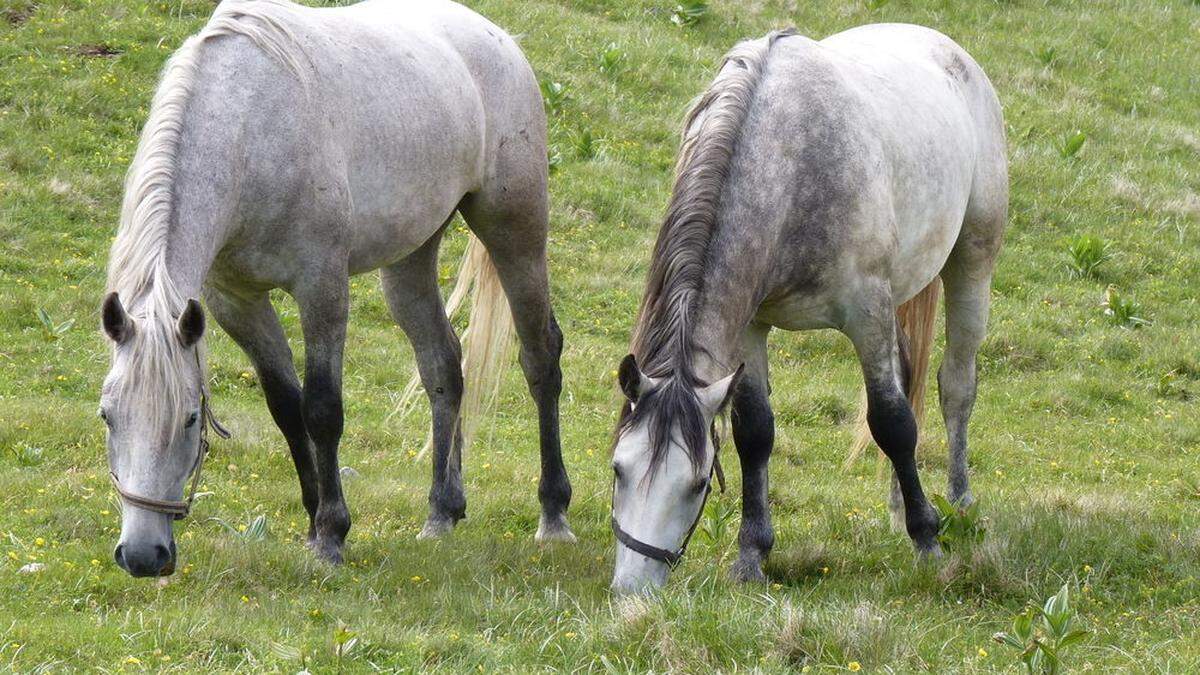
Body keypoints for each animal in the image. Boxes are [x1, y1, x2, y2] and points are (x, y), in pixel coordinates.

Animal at [98, 0, 576, 576]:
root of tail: (497, 38)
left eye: (190, 419)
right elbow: (286, 407)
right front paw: (311, 521)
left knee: (540, 357)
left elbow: (322, 408)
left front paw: (332, 533)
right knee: (443, 366)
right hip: (410, 259)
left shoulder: (321, 287)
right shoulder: (235, 300)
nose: (143, 556)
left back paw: (553, 515)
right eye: (107, 416)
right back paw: (442, 511)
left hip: (515, 234)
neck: (252, 131)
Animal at [604, 26, 1008, 590]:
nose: (632, 592)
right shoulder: (749, 327)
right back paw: (897, 505)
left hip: (971, 263)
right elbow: (755, 432)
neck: (787, 166)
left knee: (955, 388)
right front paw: (751, 554)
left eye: (698, 482)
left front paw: (927, 540)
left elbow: (892, 422)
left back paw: (957, 501)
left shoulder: (866, 312)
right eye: (619, 468)